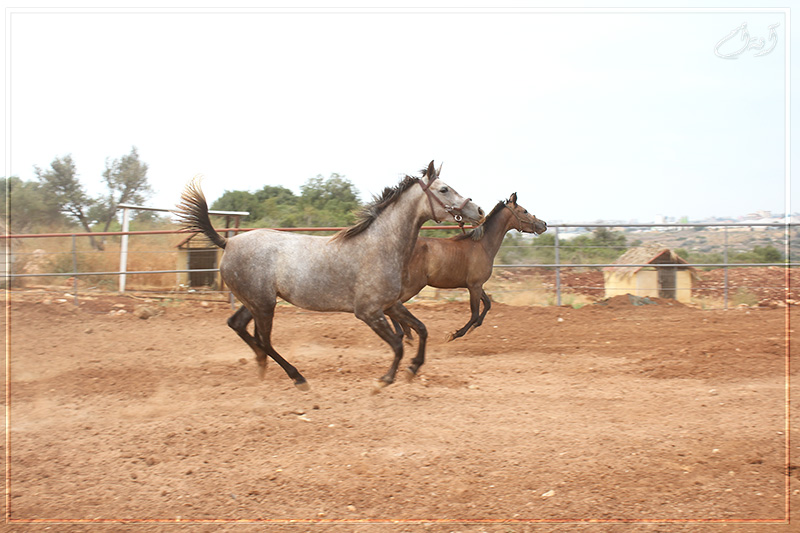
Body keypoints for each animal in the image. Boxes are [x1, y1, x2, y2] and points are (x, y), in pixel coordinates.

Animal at [175, 160, 484, 388]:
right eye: (444, 189)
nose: (477, 209)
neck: (379, 246)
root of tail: (228, 243)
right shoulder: (369, 312)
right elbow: (398, 344)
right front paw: (385, 380)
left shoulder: (391, 305)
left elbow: (421, 329)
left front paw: (413, 369)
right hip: (263, 305)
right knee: (265, 340)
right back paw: (297, 377)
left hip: (256, 302)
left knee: (238, 325)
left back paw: (262, 366)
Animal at [398, 193, 548, 338]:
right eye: (525, 211)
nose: (543, 224)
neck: (482, 245)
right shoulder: (474, 286)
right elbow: (475, 313)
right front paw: (455, 334)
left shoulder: (477, 285)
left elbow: (487, 304)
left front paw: (474, 327)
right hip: (414, 286)